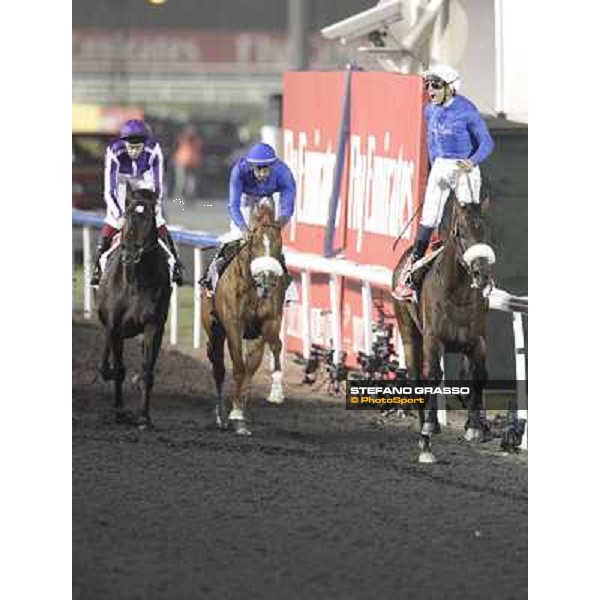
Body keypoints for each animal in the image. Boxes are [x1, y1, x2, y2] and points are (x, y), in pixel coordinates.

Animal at [96, 188, 171, 426]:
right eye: (127, 215)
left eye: (149, 217)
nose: (129, 253)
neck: (135, 281)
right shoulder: (114, 326)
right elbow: (115, 369)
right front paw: (120, 410)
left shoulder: (153, 325)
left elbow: (147, 371)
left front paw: (144, 416)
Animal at [200, 199, 288, 434]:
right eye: (255, 242)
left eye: (279, 243)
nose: (267, 277)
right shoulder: (233, 324)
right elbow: (238, 367)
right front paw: (232, 414)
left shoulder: (268, 322)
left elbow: (272, 349)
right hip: (214, 330)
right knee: (219, 368)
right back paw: (220, 415)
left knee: (250, 365)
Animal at [392, 195, 494, 462]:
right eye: (460, 233)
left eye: (487, 231)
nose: (481, 273)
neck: (458, 295)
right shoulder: (433, 339)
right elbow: (434, 376)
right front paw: (428, 430)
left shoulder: (477, 341)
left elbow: (479, 376)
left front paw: (474, 427)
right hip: (409, 333)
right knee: (417, 379)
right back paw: (424, 437)